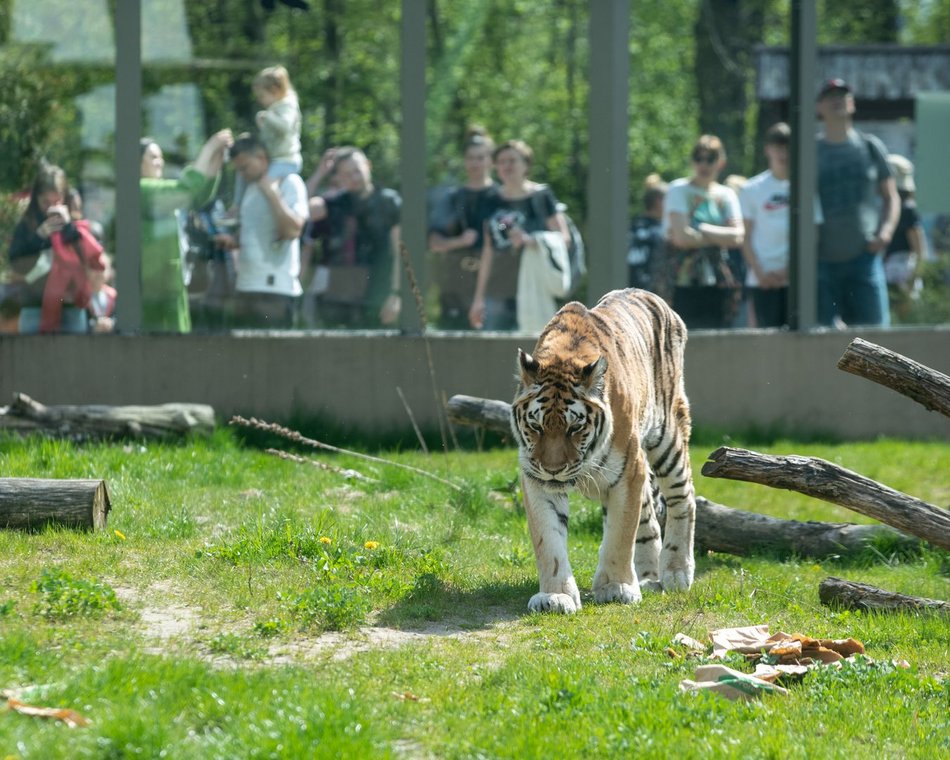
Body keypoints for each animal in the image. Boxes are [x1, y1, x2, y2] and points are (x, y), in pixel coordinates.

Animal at [512, 288, 700, 616]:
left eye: (575, 428)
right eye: (535, 426)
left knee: (684, 497)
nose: (552, 470)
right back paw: (648, 578)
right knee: (649, 519)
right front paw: (555, 596)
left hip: (668, 435)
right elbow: (548, 540)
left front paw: (617, 588)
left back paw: (676, 572)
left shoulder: (627, 472)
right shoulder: (535, 480)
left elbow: (620, 534)